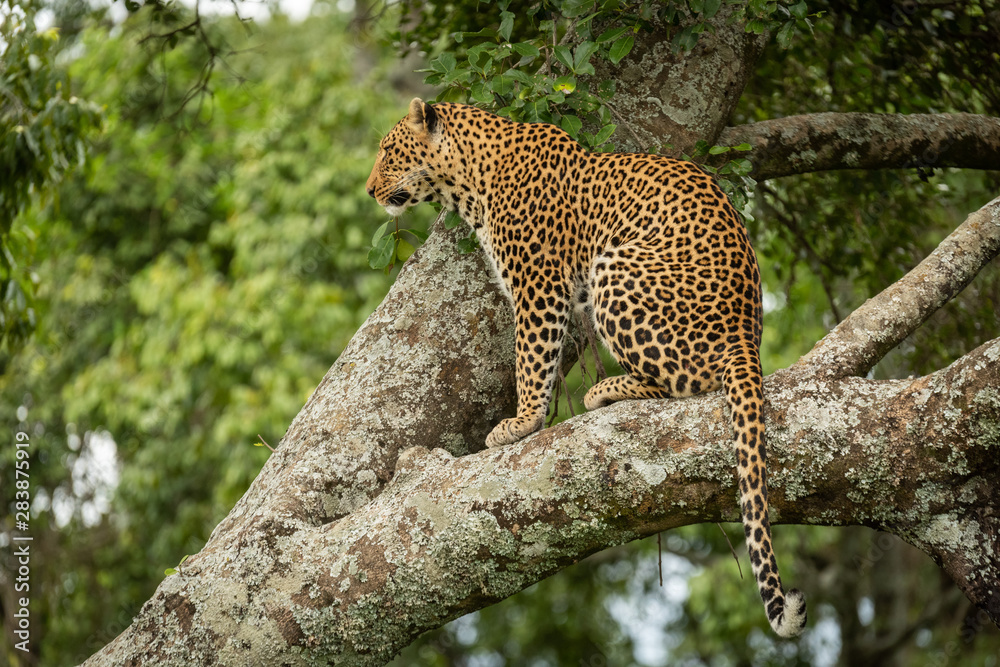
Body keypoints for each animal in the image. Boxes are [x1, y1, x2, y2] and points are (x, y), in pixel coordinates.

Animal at [366, 98, 807, 638]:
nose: (369, 190)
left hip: (615, 268)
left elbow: (531, 358)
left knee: (686, 380)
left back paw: (606, 390)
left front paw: (521, 422)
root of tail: (746, 332)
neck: (472, 177)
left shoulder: (538, 284)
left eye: (388, 151)